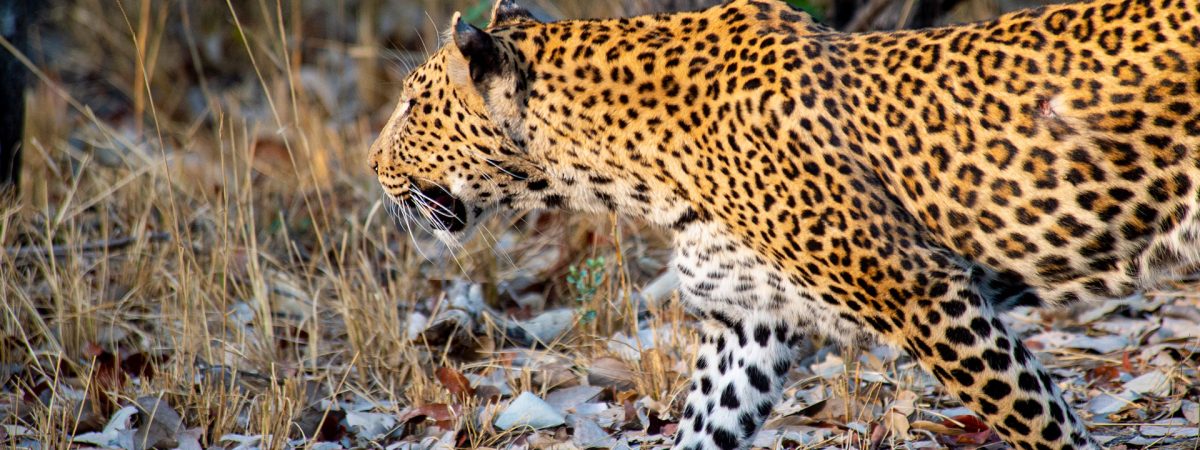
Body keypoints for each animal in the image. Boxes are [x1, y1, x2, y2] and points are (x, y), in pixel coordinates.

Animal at [367, 0, 1200, 448]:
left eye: (410, 107)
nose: (371, 165)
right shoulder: (748, 324)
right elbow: (702, 426)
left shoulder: (927, 296)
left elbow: (1043, 420)